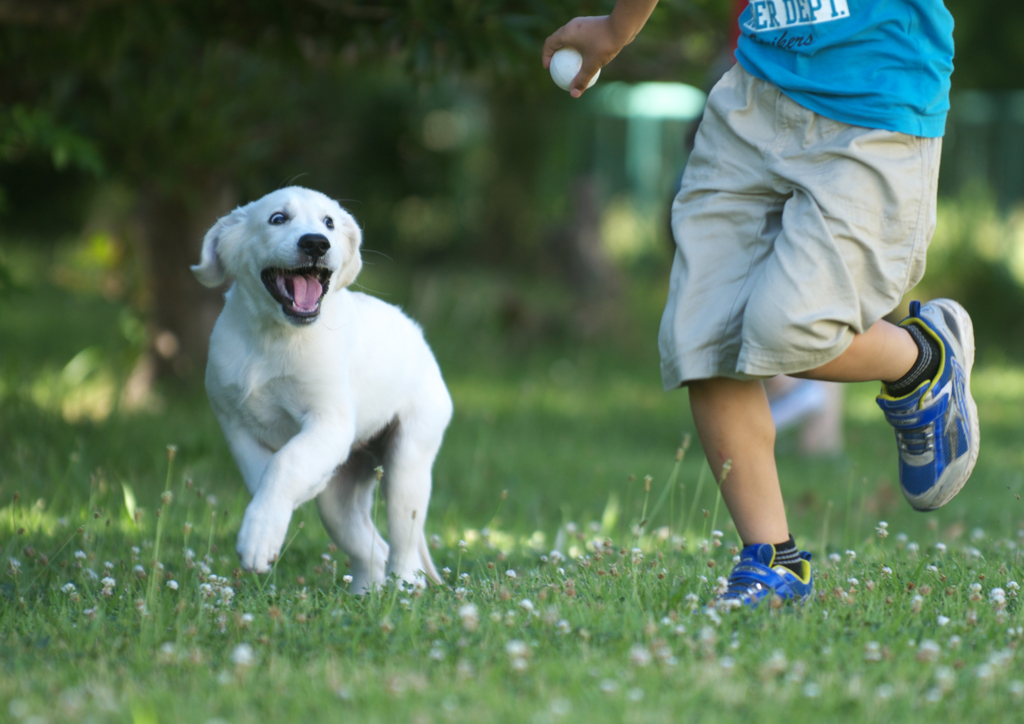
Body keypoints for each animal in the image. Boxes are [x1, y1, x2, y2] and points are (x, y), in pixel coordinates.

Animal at [191, 184, 452, 593]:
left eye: (329, 222)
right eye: (277, 218)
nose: (316, 243)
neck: (275, 339)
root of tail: (419, 338)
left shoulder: (330, 421)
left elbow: (287, 461)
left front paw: (258, 537)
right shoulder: (234, 424)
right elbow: (261, 472)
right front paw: (268, 521)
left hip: (408, 464)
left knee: (403, 549)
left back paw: (403, 589)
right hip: (341, 499)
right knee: (373, 549)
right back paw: (364, 595)